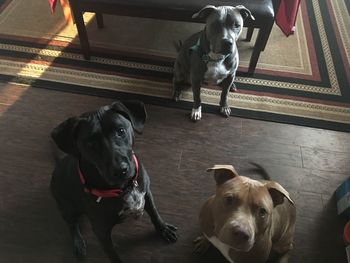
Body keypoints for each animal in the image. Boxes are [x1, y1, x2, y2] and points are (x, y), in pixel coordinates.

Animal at [50, 100, 178, 262]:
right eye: (91, 143)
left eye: (121, 131)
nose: (120, 170)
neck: (125, 187)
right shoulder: (101, 231)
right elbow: (112, 254)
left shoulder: (147, 193)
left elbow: (154, 213)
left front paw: (163, 228)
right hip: (68, 208)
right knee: (72, 225)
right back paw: (78, 242)